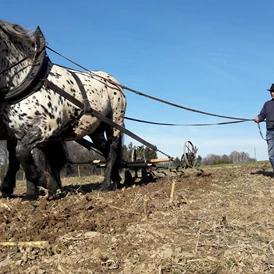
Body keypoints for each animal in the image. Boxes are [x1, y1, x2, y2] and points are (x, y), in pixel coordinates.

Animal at [0, 19, 126, 199]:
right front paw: (41, 192)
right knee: (106, 150)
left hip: (115, 121)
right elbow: (25, 157)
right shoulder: (19, 134)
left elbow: (22, 153)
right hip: (95, 130)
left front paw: (43, 181)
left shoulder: (46, 127)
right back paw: (115, 180)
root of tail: (114, 81)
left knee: (113, 150)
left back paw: (105, 184)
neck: (29, 79)